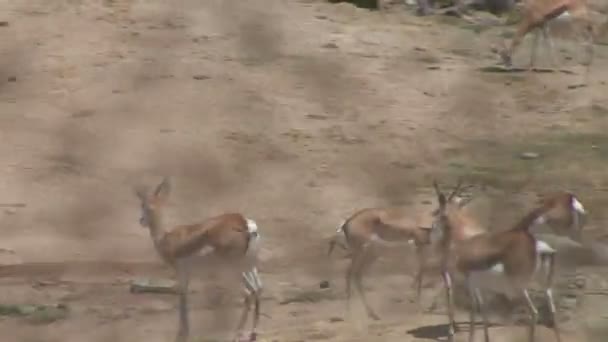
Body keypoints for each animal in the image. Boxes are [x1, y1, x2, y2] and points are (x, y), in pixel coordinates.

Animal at [134, 178, 262, 340]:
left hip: (232, 271)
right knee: (258, 289)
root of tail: (244, 223)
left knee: (247, 294)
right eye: (142, 205)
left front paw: (182, 334)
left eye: (148, 207)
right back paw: (253, 333)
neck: (166, 239)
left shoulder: (181, 272)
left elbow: (182, 299)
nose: (141, 220)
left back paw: (235, 335)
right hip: (249, 267)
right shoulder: (188, 274)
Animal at [430, 183, 588, 342]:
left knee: (534, 312)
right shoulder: (480, 286)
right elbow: (482, 309)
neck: (463, 242)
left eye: (439, 213)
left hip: (518, 287)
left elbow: (473, 311)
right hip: (544, 285)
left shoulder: (469, 283)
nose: (432, 229)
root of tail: (535, 244)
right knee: (552, 312)